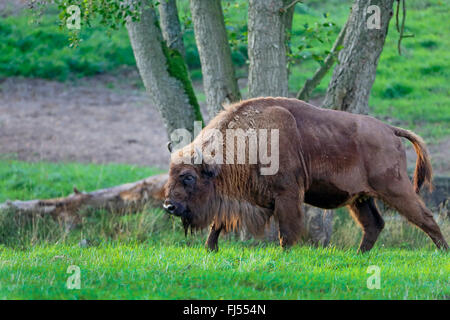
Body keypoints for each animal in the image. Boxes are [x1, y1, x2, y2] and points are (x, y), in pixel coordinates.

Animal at [163, 97, 448, 252]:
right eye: (171, 173)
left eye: (188, 177)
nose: (169, 206)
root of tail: (390, 129)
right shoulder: (240, 198)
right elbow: (217, 224)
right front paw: (210, 249)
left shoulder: (287, 195)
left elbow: (287, 231)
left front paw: (285, 254)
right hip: (360, 199)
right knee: (374, 224)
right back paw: (358, 255)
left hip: (395, 188)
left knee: (425, 217)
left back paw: (442, 252)